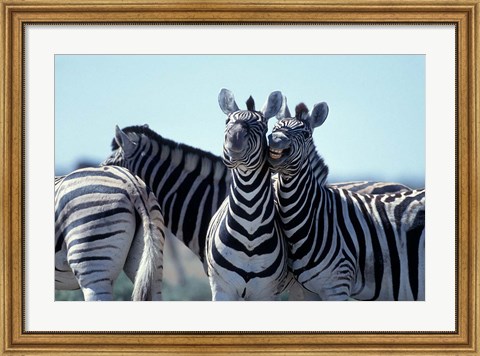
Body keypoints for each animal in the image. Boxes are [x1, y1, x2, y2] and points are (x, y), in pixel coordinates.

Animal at [268, 101, 426, 302]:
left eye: (306, 134)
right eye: (274, 128)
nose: (276, 139)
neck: (316, 216)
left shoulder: (337, 285)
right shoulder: (309, 290)